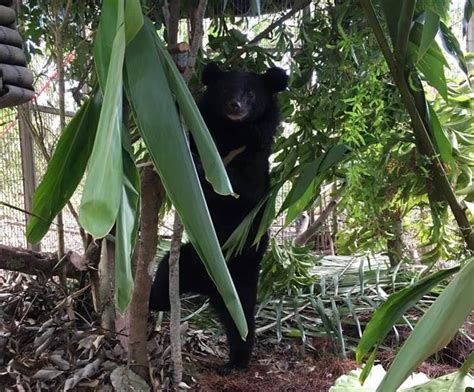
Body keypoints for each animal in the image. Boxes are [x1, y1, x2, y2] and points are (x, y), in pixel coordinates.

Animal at [150, 61, 286, 370]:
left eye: (250, 94)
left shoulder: (255, 160)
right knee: (164, 275)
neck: (232, 134)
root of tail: (208, 285)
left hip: (241, 273)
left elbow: (238, 189)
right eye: (225, 91)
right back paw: (154, 303)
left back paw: (237, 362)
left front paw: (202, 171)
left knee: (242, 321)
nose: (235, 105)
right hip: (189, 260)